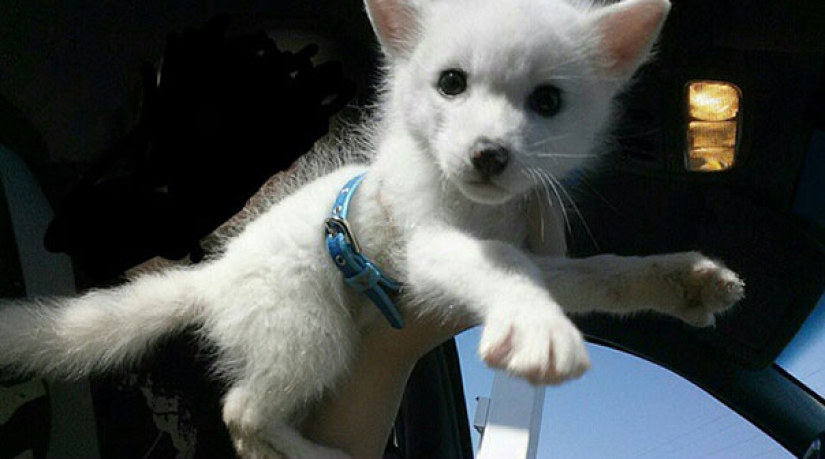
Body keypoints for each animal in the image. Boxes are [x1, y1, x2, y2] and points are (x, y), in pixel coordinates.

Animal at [0, 0, 744, 458]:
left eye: (547, 101)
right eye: (450, 83)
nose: (488, 156)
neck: (475, 208)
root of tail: (216, 275)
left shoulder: (537, 243)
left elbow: (598, 274)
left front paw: (684, 280)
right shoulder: (430, 245)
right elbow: (506, 270)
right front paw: (535, 325)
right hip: (314, 331)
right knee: (242, 412)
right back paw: (317, 454)